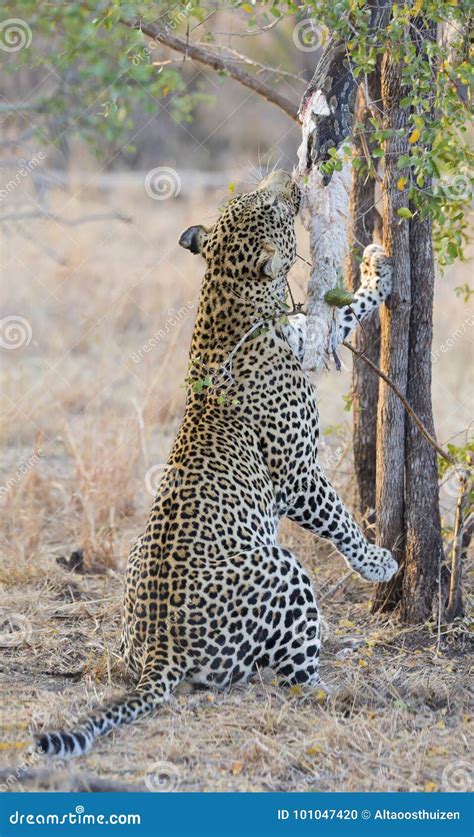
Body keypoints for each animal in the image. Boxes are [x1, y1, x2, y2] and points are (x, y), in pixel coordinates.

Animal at [36, 170, 397, 758]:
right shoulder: (296, 475)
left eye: (253, 198)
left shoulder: (304, 332)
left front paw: (378, 268)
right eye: (270, 206)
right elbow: (340, 520)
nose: (288, 178)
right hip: (285, 570)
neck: (224, 298)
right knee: (295, 680)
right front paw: (377, 563)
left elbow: (344, 311)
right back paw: (340, 688)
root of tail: (159, 651)